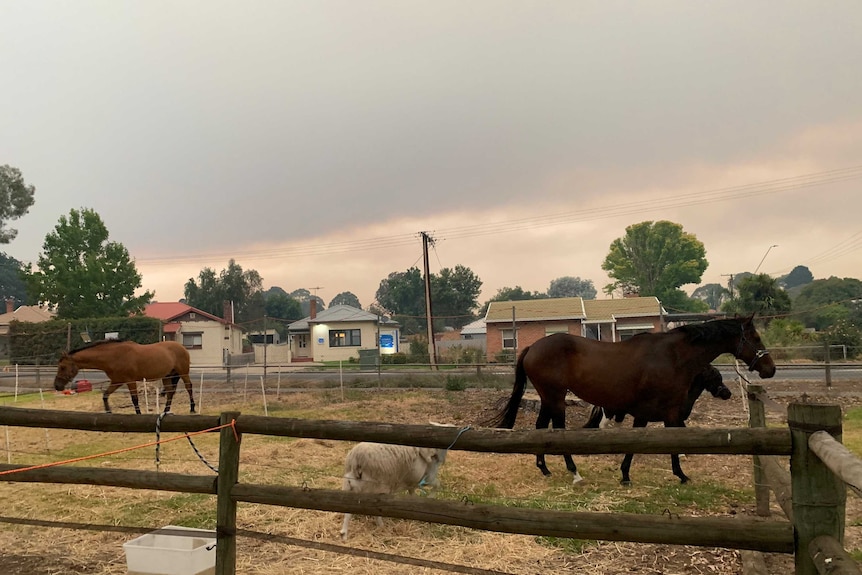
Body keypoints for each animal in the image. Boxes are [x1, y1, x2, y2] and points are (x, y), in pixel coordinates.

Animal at [52, 340, 197, 416]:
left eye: (63, 367)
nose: (57, 386)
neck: (113, 356)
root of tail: (181, 346)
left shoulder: (130, 381)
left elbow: (134, 399)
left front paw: (138, 414)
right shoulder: (116, 381)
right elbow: (105, 395)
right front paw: (108, 411)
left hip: (183, 373)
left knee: (189, 387)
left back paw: (192, 408)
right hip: (167, 376)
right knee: (170, 393)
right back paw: (165, 412)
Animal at [584, 366, 732, 484]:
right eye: (717, 378)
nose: (727, 394)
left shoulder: (672, 420)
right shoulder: (650, 419)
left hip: (620, 413)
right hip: (610, 412)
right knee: (602, 427)